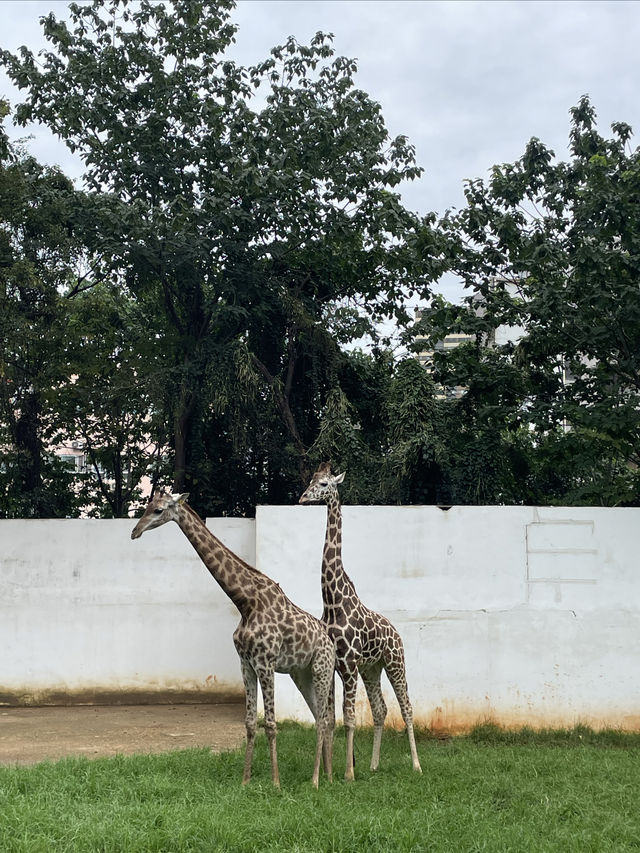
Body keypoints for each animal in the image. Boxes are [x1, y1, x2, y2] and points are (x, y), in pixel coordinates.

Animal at [133, 490, 338, 788]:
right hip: (302, 674)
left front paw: (275, 783)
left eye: (159, 510)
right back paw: (328, 775)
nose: (135, 531)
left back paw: (316, 780)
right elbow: (250, 723)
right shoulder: (246, 663)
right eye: (147, 506)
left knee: (324, 719)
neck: (246, 602)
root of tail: (330, 641)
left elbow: (271, 724)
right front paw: (245, 781)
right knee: (319, 716)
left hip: (322, 669)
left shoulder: (265, 663)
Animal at [298, 462, 422, 784]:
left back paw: (417, 766)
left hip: (394, 662)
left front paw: (348, 773)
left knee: (407, 707)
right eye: (312, 480)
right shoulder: (336, 666)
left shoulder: (350, 665)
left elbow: (350, 718)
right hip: (372, 668)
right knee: (381, 709)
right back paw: (374, 765)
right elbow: (331, 718)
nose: (303, 498)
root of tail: (396, 632)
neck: (333, 603)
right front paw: (332, 771)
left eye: (325, 484)